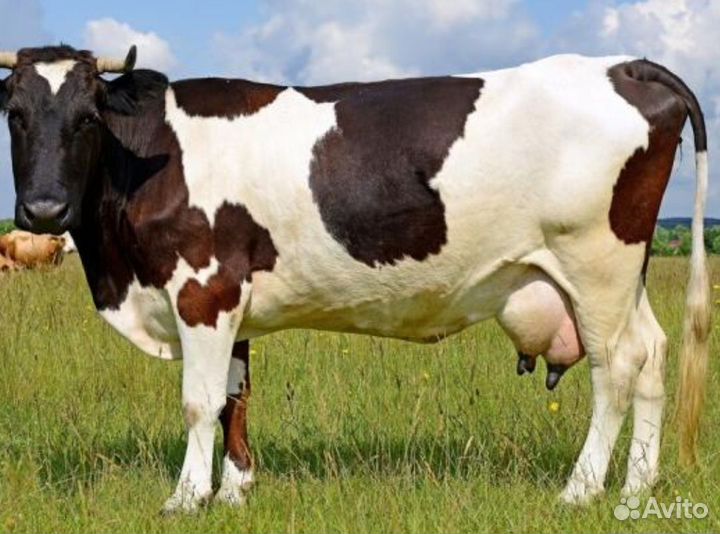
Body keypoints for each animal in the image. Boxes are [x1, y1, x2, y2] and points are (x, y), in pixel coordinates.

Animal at [0, 45, 710, 513]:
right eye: (15, 114)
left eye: (89, 116)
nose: (44, 211)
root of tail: (623, 64)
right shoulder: (233, 298)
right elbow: (235, 395)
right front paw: (235, 490)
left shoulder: (203, 288)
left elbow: (199, 401)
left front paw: (186, 498)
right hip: (623, 276)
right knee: (653, 354)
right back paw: (637, 489)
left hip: (595, 264)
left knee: (616, 369)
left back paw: (581, 489)